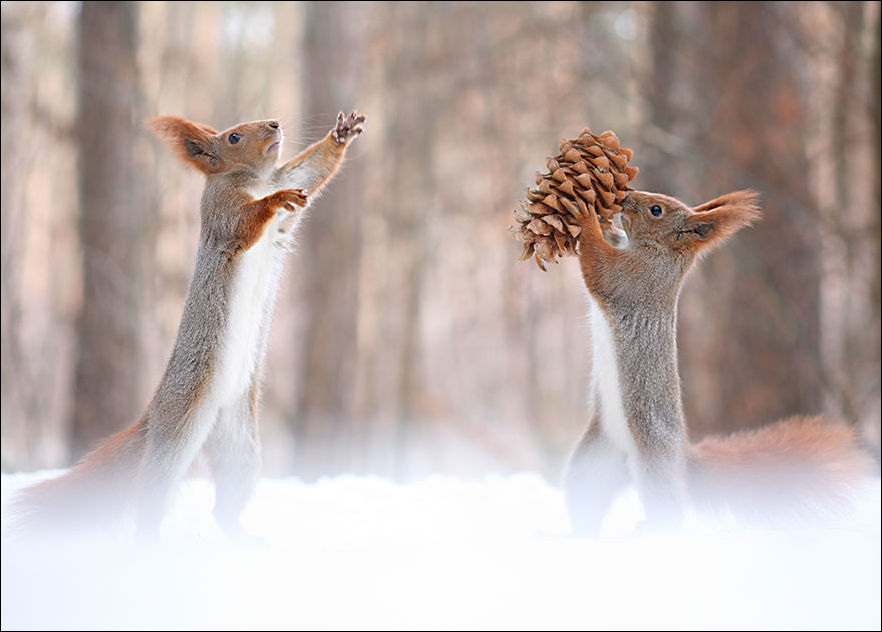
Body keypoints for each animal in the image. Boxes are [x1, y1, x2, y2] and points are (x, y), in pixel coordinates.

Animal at [12, 110, 366, 539]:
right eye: (233, 137)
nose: (274, 124)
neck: (254, 180)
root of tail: (155, 416)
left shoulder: (288, 183)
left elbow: (310, 173)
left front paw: (341, 134)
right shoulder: (221, 212)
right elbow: (244, 223)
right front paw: (272, 201)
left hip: (241, 446)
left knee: (226, 501)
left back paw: (241, 537)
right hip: (178, 432)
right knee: (152, 494)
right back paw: (149, 541)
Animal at [564, 189, 874, 534]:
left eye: (656, 210)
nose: (625, 197)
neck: (660, 252)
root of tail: (683, 459)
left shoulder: (635, 279)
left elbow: (600, 269)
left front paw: (585, 216)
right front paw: (602, 219)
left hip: (655, 456)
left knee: (669, 507)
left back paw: (650, 530)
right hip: (594, 463)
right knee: (584, 498)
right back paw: (580, 533)